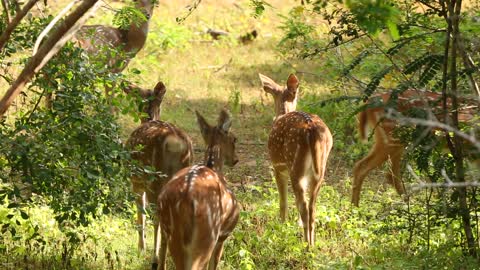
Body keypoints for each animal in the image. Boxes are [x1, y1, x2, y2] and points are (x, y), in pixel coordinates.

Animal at [127, 82, 195, 268]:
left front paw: (141, 248)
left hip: (155, 180)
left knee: (159, 218)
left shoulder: (136, 181)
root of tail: (175, 144)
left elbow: (140, 213)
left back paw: (158, 261)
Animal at [156, 108, 240, 270]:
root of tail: (186, 201)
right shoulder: (223, 234)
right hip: (207, 237)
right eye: (234, 139)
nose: (235, 160)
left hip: (170, 231)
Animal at [258, 73, 334, 246]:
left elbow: (283, 201)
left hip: (295, 165)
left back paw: (306, 245)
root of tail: (311, 130)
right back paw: (311, 243)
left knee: (304, 206)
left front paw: (282, 224)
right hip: (319, 170)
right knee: (312, 206)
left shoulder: (278, 167)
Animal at [350, 89, 478, 206]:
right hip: (393, 137)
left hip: (393, 140)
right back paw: (355, 209)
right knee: (363, 167)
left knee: (390, 174)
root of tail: (370, 102)